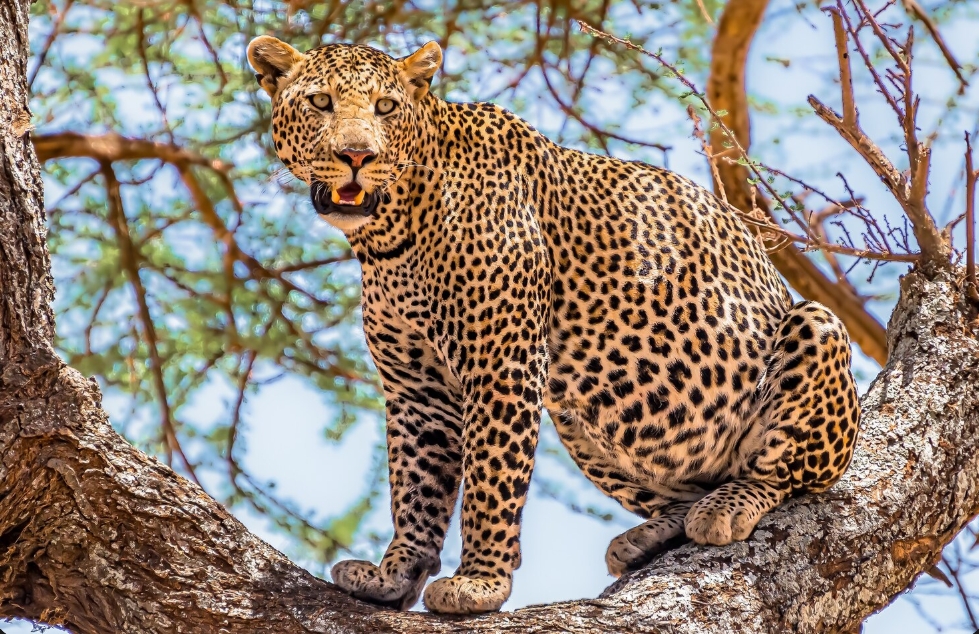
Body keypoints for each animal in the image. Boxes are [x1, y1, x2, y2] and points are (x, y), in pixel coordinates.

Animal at [247, 35, 861, 616]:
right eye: (320, 102)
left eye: (386, 107)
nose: (356, 154)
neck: (389, 234)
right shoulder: (417, 389)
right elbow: (416, 486)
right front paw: (394, 574)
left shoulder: (503, 364)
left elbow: (490, 480)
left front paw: (480, 584)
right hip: (583, 417)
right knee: (679, 494)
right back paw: (649, 537)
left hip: (816, 329)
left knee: (786, 473)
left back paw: (728, 505)